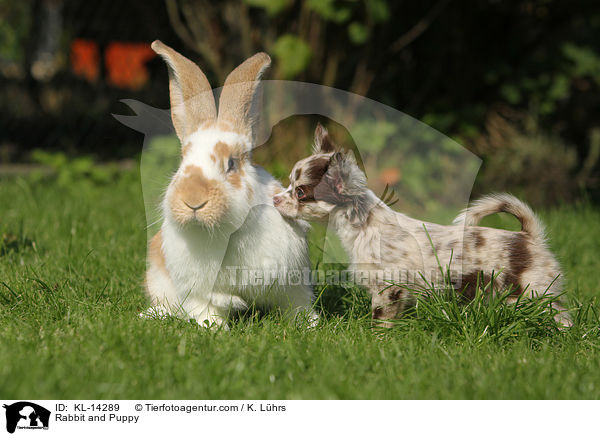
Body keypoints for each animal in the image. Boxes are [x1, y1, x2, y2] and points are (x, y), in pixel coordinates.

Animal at [142, 41, 316, 328]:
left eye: (231, 164)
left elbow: (298, 304)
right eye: (183, 160)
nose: (193, 200)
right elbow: (206, 310)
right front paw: (214, 330)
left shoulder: (292, 280)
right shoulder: (199, 293)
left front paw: (309, 324)